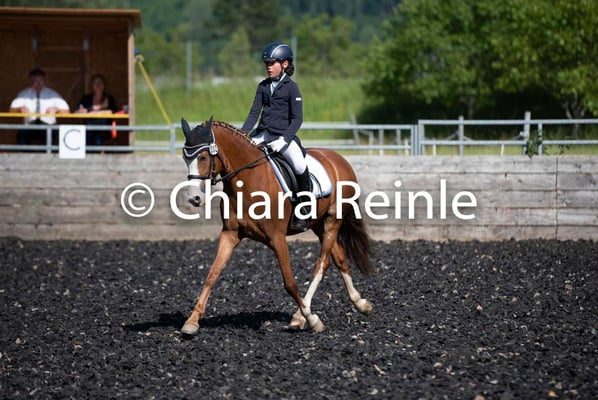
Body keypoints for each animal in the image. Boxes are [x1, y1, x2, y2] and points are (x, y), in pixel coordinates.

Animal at [179, 117, 374, 336]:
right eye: (185, 158)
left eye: (203, 157)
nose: (195, 199)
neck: (247, 180)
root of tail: (339, 159)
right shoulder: (230, 234)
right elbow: (211, 275)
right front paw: (192, 321)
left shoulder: (277, 237)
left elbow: (290, 283)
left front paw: (313, 320)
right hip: (318, 224)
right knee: (339, 258)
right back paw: (360, 303)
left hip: (333, 220)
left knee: (321, 264)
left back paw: (301, 316)